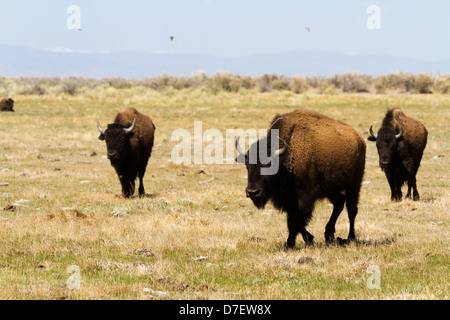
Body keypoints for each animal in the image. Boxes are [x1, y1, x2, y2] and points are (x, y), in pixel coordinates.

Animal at [236, 110, 366, 250]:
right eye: (247, 165)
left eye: (269, 164)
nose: (253, 192)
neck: (285, 158)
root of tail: (359, 139)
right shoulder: (289, 199)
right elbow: (294, 220)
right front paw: (306, 240)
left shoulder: (304, 196)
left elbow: (296, 220)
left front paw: (291, 244)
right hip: (332, 188)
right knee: (339, 203)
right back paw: (329, 235)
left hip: (355, 184)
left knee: (351, 209)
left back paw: (350, 237)